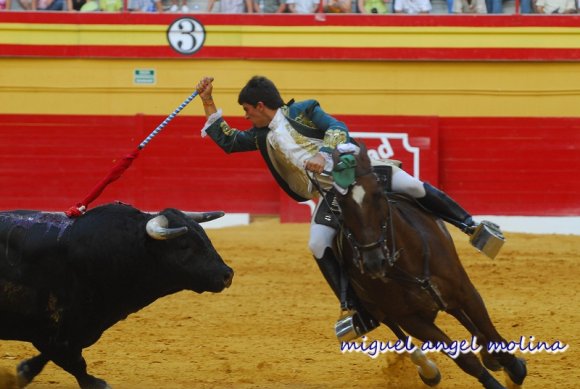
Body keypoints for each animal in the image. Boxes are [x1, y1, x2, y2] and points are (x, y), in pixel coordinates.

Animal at [1, 203, 236, 388]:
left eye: (205, 237)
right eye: (183, 245)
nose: (227, 274)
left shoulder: (74, 328)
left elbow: (58, 355)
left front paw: (23, 372)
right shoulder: (50, 325)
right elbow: (72, 360)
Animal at [330, 143, 524, 388]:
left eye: (377, 194)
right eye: (340, 203)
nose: (374, 261)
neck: (408, 261)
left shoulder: (465, 291)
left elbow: (491, 332)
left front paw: (515, 369)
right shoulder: (411, 319)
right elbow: (464, 359)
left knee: (460, 316)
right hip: (379, 310)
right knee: (401, 335)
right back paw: (428, 369)